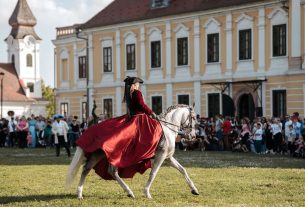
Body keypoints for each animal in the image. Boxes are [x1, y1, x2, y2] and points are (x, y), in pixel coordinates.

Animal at [65, 104, 198, 200]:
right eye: (193, 118)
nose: (193, 136)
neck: (167, 128)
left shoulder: (168, 157)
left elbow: (183, 170)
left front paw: (194, 189)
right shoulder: (161, 156)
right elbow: (153, 173)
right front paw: (147, 193)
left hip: (98, 154)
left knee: (87, 169)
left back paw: (79, 194)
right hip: (111, 156)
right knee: (111, 171)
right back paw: (129, 192)